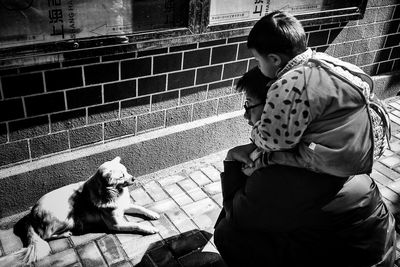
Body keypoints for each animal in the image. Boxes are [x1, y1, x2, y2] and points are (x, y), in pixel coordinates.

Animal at [0, 157, 159, 266]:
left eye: (126, 171)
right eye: (121, 176)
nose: (133, 178)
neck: (113, 193)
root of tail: (31, 214)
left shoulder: (124, 206)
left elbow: (140, 207)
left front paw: (153, 214)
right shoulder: (115, 225)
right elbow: (136, 225)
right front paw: (149, 228)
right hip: (67, 218)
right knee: (46, 235)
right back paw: (65, 233)